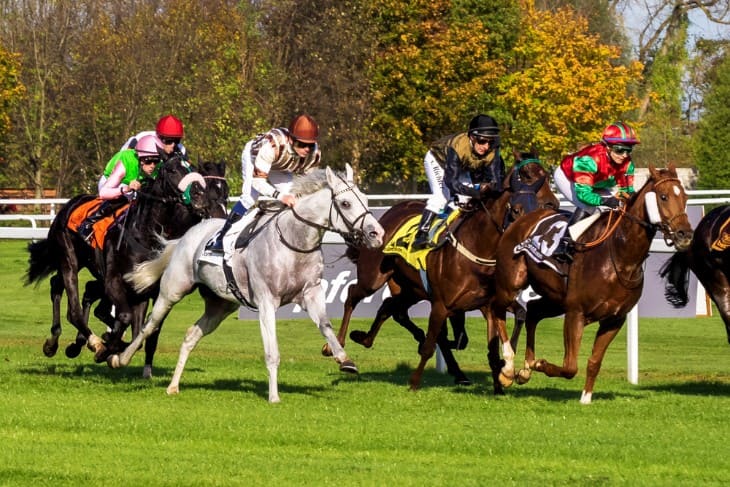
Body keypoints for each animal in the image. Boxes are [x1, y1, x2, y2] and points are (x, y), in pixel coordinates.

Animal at [24, 156, 225, 370]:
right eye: (172, 170)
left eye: (192, 169)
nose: (200, 197)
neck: (146, 234)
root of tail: (70, 204)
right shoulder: (114, 281)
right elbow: (125, 318)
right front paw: (104, 348)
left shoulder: (143, 288)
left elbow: (139, 333)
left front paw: (113, 348)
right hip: (68, 259)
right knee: (74, 310)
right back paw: (83, 342)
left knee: (61, 286)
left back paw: (63, 342)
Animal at [111, 166, 384, 402]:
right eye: (346, 203)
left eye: (365, 199)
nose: (377, 234)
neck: (295, 242)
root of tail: (186, 236)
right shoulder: (266, 302)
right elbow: (272, 351)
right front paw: (274, 396)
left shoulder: (311, 294)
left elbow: (326, 325)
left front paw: (344, 359)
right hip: (172, 290)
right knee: (150, 325)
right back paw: (120, 359)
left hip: (220, 306)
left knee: (191, 335)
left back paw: (173, 386)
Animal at [322, 154, 556, 390]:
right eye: (526, 174)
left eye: (546, 175)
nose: (552, 203)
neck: (478, 246)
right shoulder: (443, 303)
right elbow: (434, 343)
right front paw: (414, 382)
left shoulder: (487, 304)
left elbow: (497, 341)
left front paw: (502, 379)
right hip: (373, 277)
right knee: (353, 294)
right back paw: (335, 345)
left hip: (411, 289)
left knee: (392, 307)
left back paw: (368, 338)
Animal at [492, 165, 692, 404]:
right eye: (663, 197)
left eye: (685, 197)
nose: (685, 234)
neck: (620, 257)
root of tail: (519, 221)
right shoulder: (575, 313)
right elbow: (570, 366)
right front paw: (540, 364)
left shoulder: (614, 319)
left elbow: (594, 362)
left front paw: (585, 398)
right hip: (511, 284)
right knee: (497, 309)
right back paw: (507, 369)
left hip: (554, 300)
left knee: (532, 313)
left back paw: (524, 369)